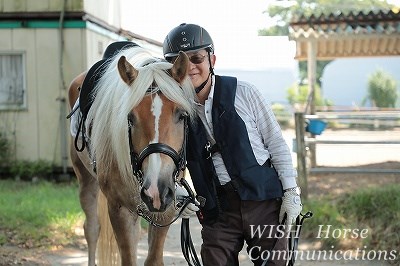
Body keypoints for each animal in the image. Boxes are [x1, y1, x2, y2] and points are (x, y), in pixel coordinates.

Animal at [68, 45, 196, 266]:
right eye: (130, 118)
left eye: (182, 115)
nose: (155, 190)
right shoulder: (119, 209)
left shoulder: (165, 209)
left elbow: (153, 259)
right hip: (86, 181)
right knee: (92, 229)